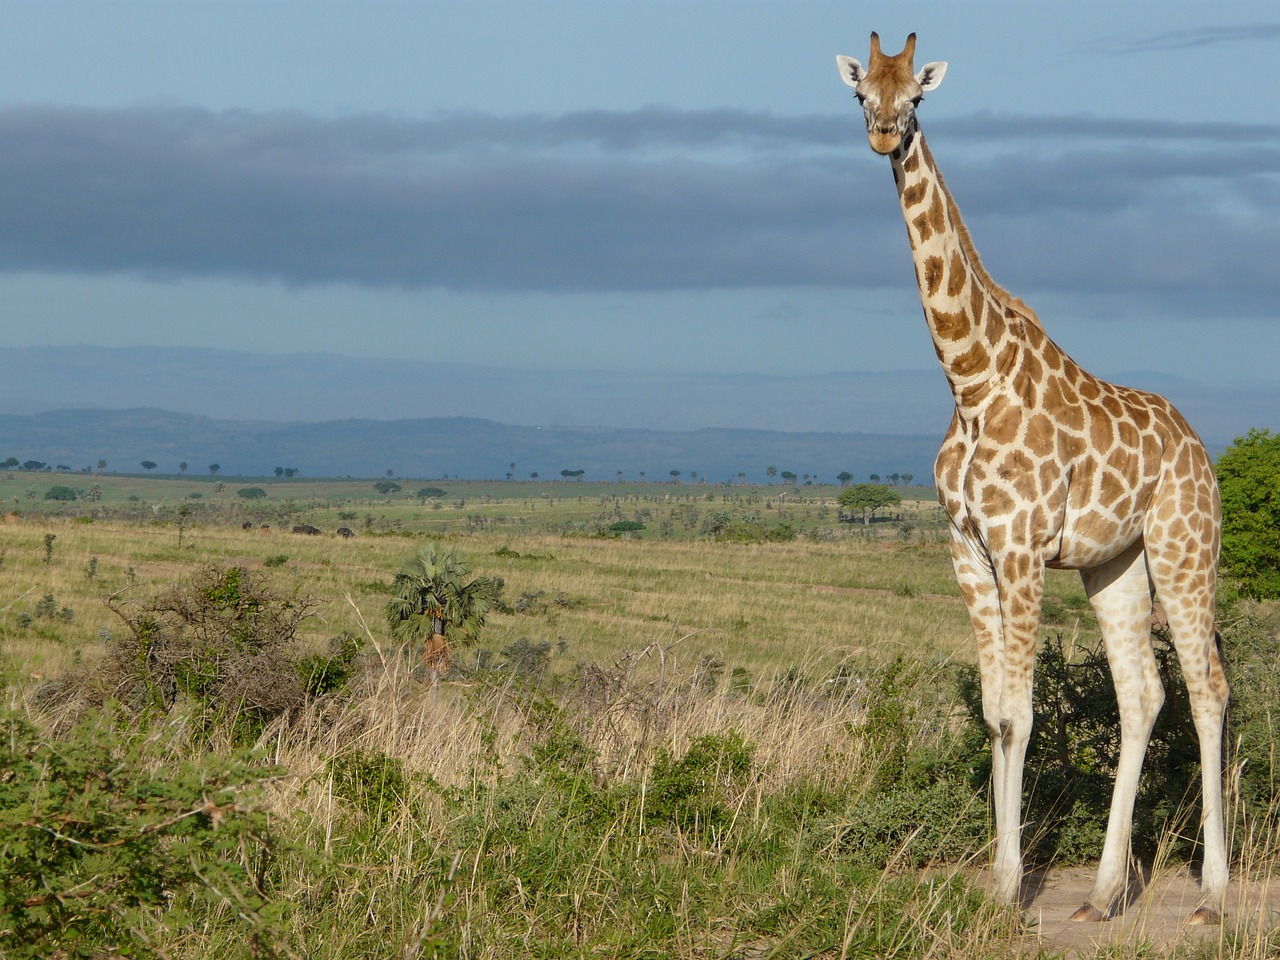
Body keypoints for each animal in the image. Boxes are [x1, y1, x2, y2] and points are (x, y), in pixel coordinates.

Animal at [839, 35, 1228, 926]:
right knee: (1142, 694)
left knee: (1208, 687)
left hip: (1183, 549)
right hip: (1113, 563)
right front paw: (1001, 880)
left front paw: (1009, 888)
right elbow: (994, 718)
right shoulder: (967, 551)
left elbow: (1019, 720)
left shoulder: (1019, 549)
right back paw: (1106, 892)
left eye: (917, 96)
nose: (883, 133)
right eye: (860, 93)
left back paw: (1213, 894)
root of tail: (1202, 450)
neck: (970, 378)